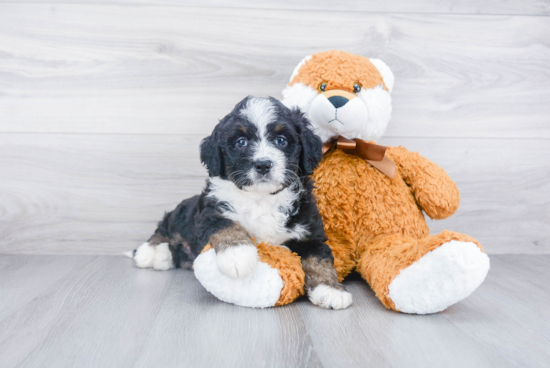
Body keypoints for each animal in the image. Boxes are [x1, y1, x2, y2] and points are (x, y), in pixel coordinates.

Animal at [130, 96, 354, 310]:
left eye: (281, 140)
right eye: (241, 142)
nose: (263, 164)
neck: (261, 198)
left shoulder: (309, 230)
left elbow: (320, 259)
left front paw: (330, 289)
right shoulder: (210, 212)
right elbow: (227, 225)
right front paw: (238, 255)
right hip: (184, 211)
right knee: (167, 226)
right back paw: (150, 252)